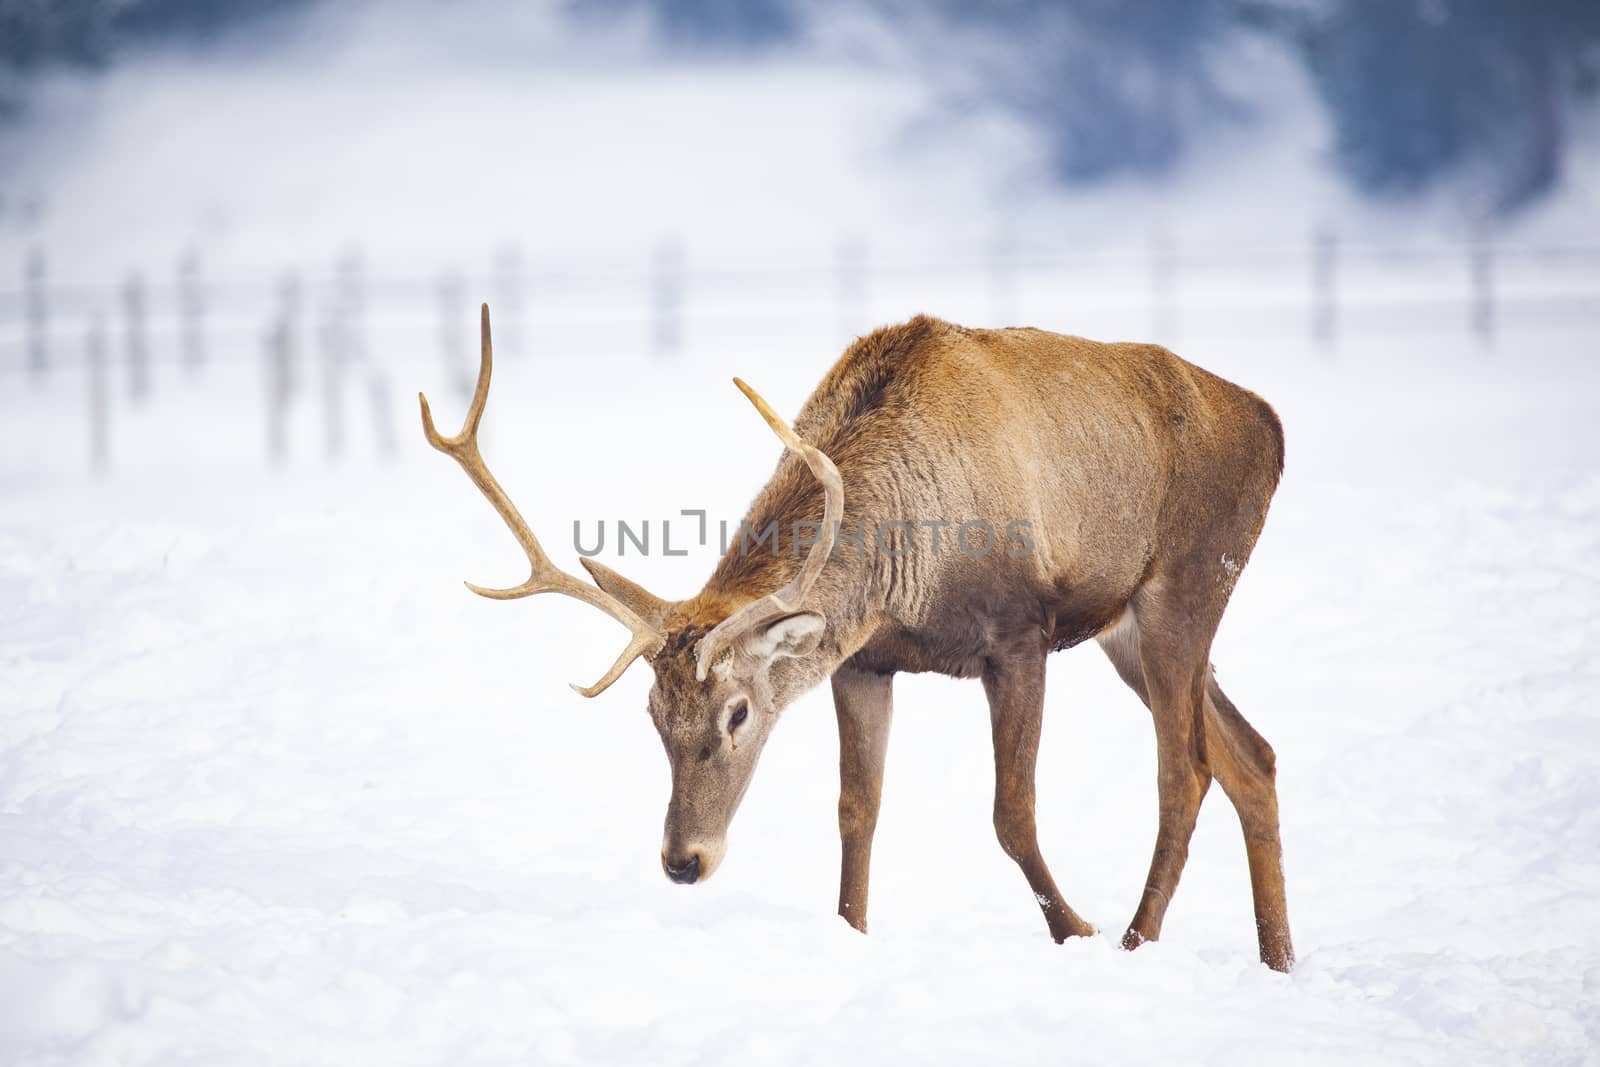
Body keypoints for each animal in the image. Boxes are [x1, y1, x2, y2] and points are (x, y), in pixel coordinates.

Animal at [419, 303, 1292, 972]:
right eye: (652, 716)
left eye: (738, 712)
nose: (683, 860)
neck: (907, 570)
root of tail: (1273, 425)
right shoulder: (863, 661)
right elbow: (855, 810)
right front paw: (850, 931)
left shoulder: (1019, 634)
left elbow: (1012, 812)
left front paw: (1073, 930)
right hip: (1128, 630)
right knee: (1252, 755)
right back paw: (1278, 955)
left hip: (1188, 583)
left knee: (1185, 773)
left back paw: (1137, 939)